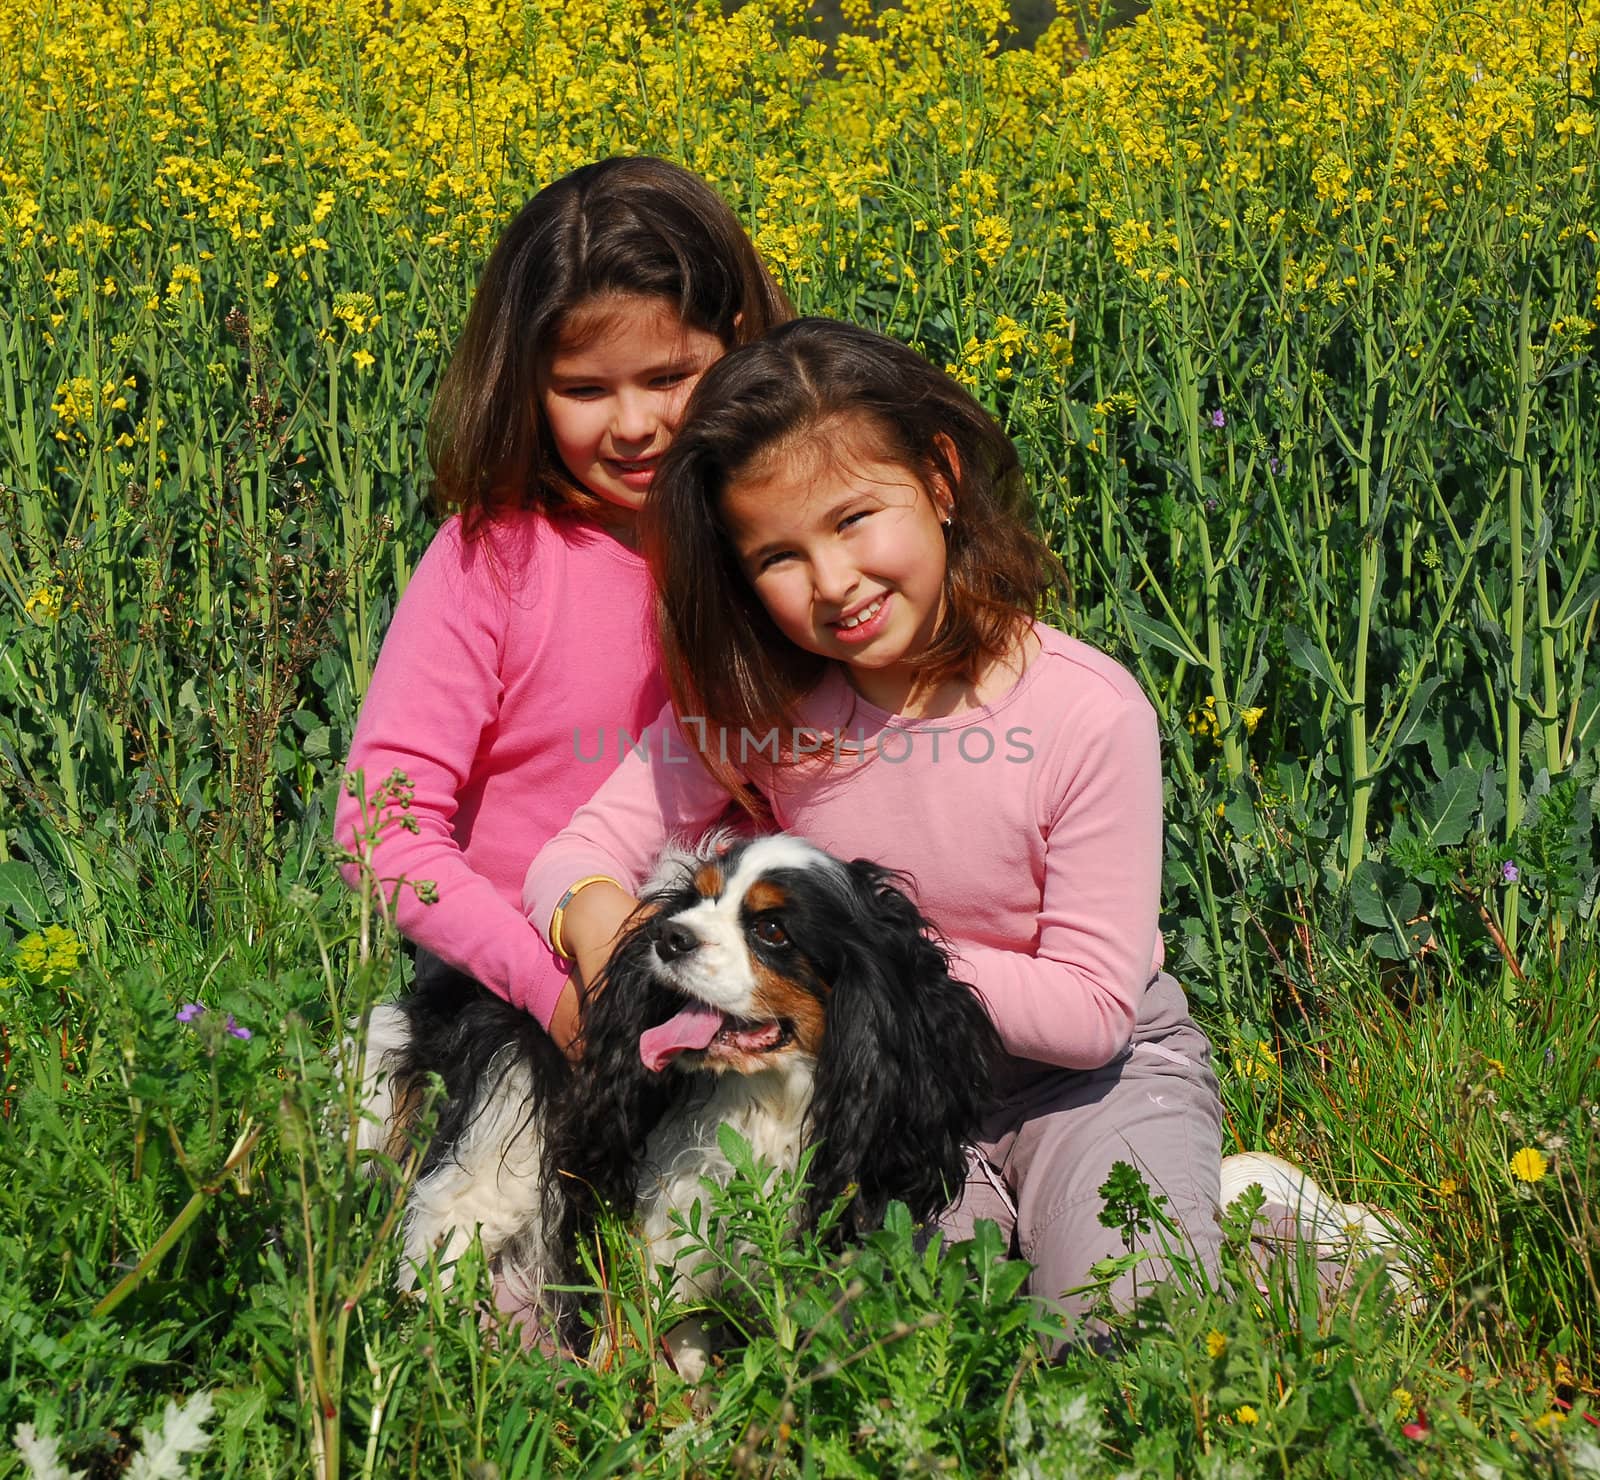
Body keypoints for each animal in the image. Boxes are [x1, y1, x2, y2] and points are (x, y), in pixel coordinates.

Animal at [363, 832, 998, 1376]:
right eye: (699, 898)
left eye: (772, 929)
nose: (669, 937)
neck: (767, 1095)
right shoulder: (668, 1209)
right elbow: (662, 1310)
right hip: (511, 1128)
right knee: (444, 1222)